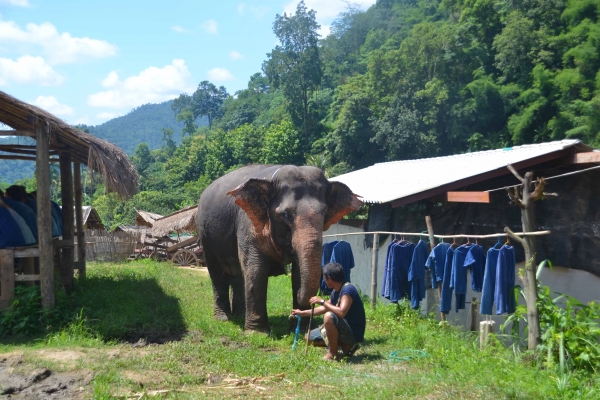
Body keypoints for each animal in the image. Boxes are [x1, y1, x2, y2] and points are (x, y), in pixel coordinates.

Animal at [198, 164, 360, 332]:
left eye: (324, 213)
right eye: (286, 215)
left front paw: (300, 329)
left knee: (237, 276)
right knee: (217, 274)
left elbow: (298, 272)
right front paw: (257, 332)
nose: (293, 313)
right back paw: (223, 318)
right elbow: (256, 270)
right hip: (205, 235)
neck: (273, 177)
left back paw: (240, 315)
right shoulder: (247, 224)